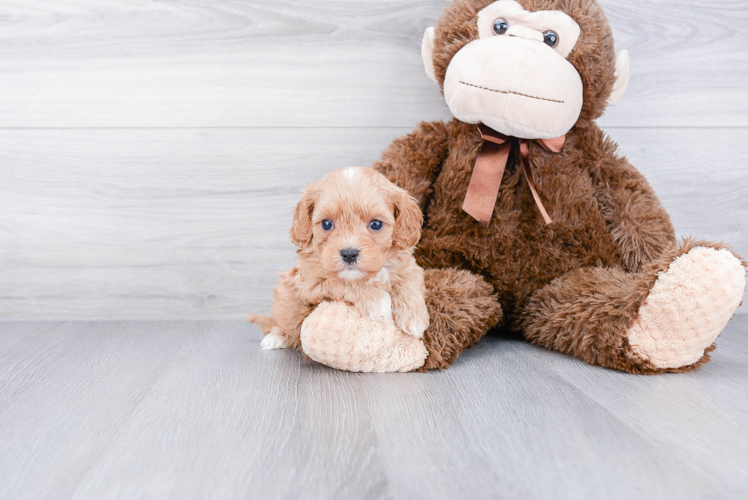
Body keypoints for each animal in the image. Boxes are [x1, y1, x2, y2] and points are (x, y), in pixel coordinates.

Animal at [250, 166, 430, 350]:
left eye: (376, 224)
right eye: (327, 224)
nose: (349, 254)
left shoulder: (410, 267)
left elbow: (408, 282)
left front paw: (415, 318)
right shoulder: (310, 284)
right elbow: (344, 282)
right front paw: (379, 302)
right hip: (286, 299)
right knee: (285, 323)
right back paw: (275, 337)